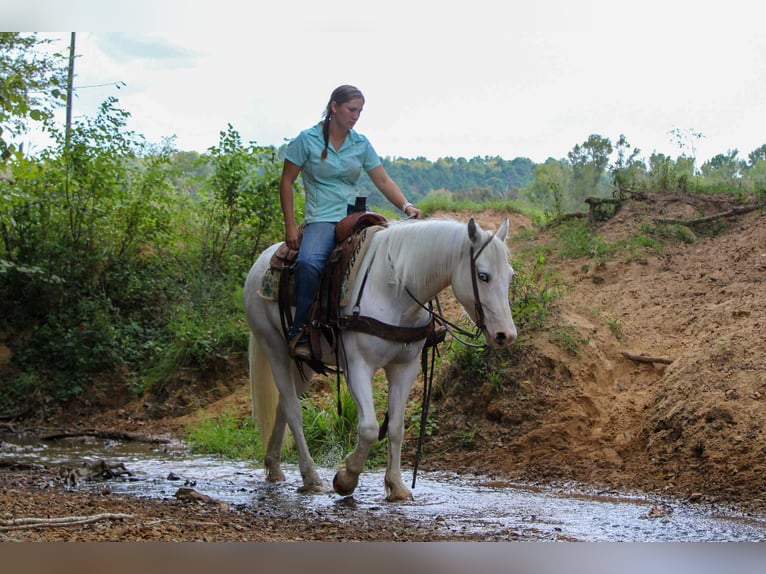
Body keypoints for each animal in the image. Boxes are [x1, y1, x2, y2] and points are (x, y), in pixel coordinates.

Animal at [242, 217, 517, 501]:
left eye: (510, 276)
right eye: (483, 276)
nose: (505, 335)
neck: (395, 289)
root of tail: (261, 261)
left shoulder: (405, 368)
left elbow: (395, 427)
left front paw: (396, 485)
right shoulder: (357, 367)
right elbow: (370, 428)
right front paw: (346, 478)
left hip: (304, 366)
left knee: (283, 407)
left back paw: (273, 466)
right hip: (274, 348)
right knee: (293, 411)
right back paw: (310, 476)